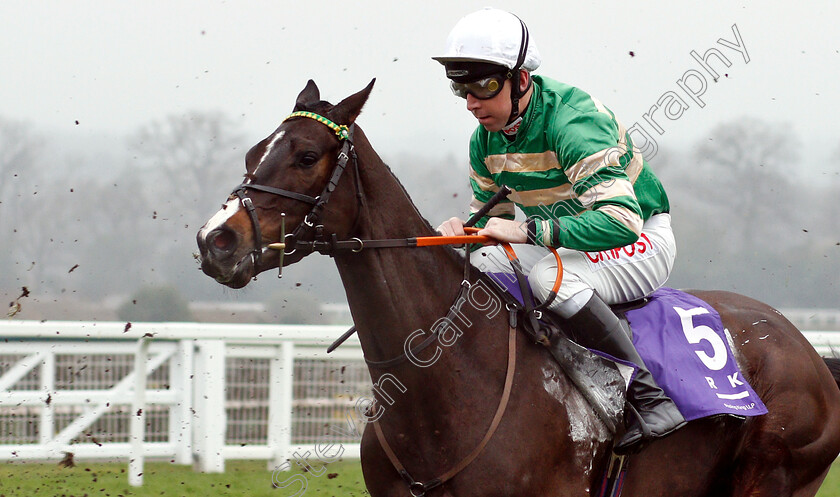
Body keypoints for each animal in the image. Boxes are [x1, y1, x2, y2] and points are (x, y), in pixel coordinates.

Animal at [195, 79, 840, 494]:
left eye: (306, 155)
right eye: (253, 153)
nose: (215, 240)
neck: (447, 382)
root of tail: (806, 349)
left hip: (776, 475)